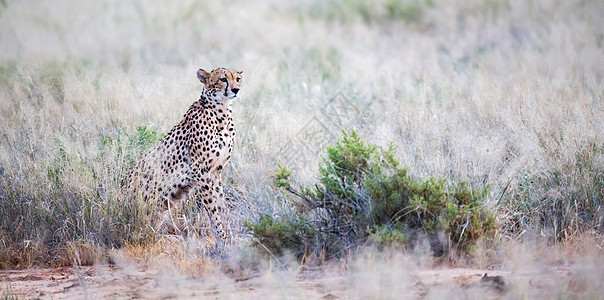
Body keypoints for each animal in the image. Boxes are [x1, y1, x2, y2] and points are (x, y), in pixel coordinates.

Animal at [126, 67, 242, 238]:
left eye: (238, 79)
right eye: (223, 79)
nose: (236, 89)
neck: (222, 112)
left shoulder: (216, 170)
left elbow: (221, 203)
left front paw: (229, 235)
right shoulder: (201, 171)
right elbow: (212, 208)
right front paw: (221, 236)